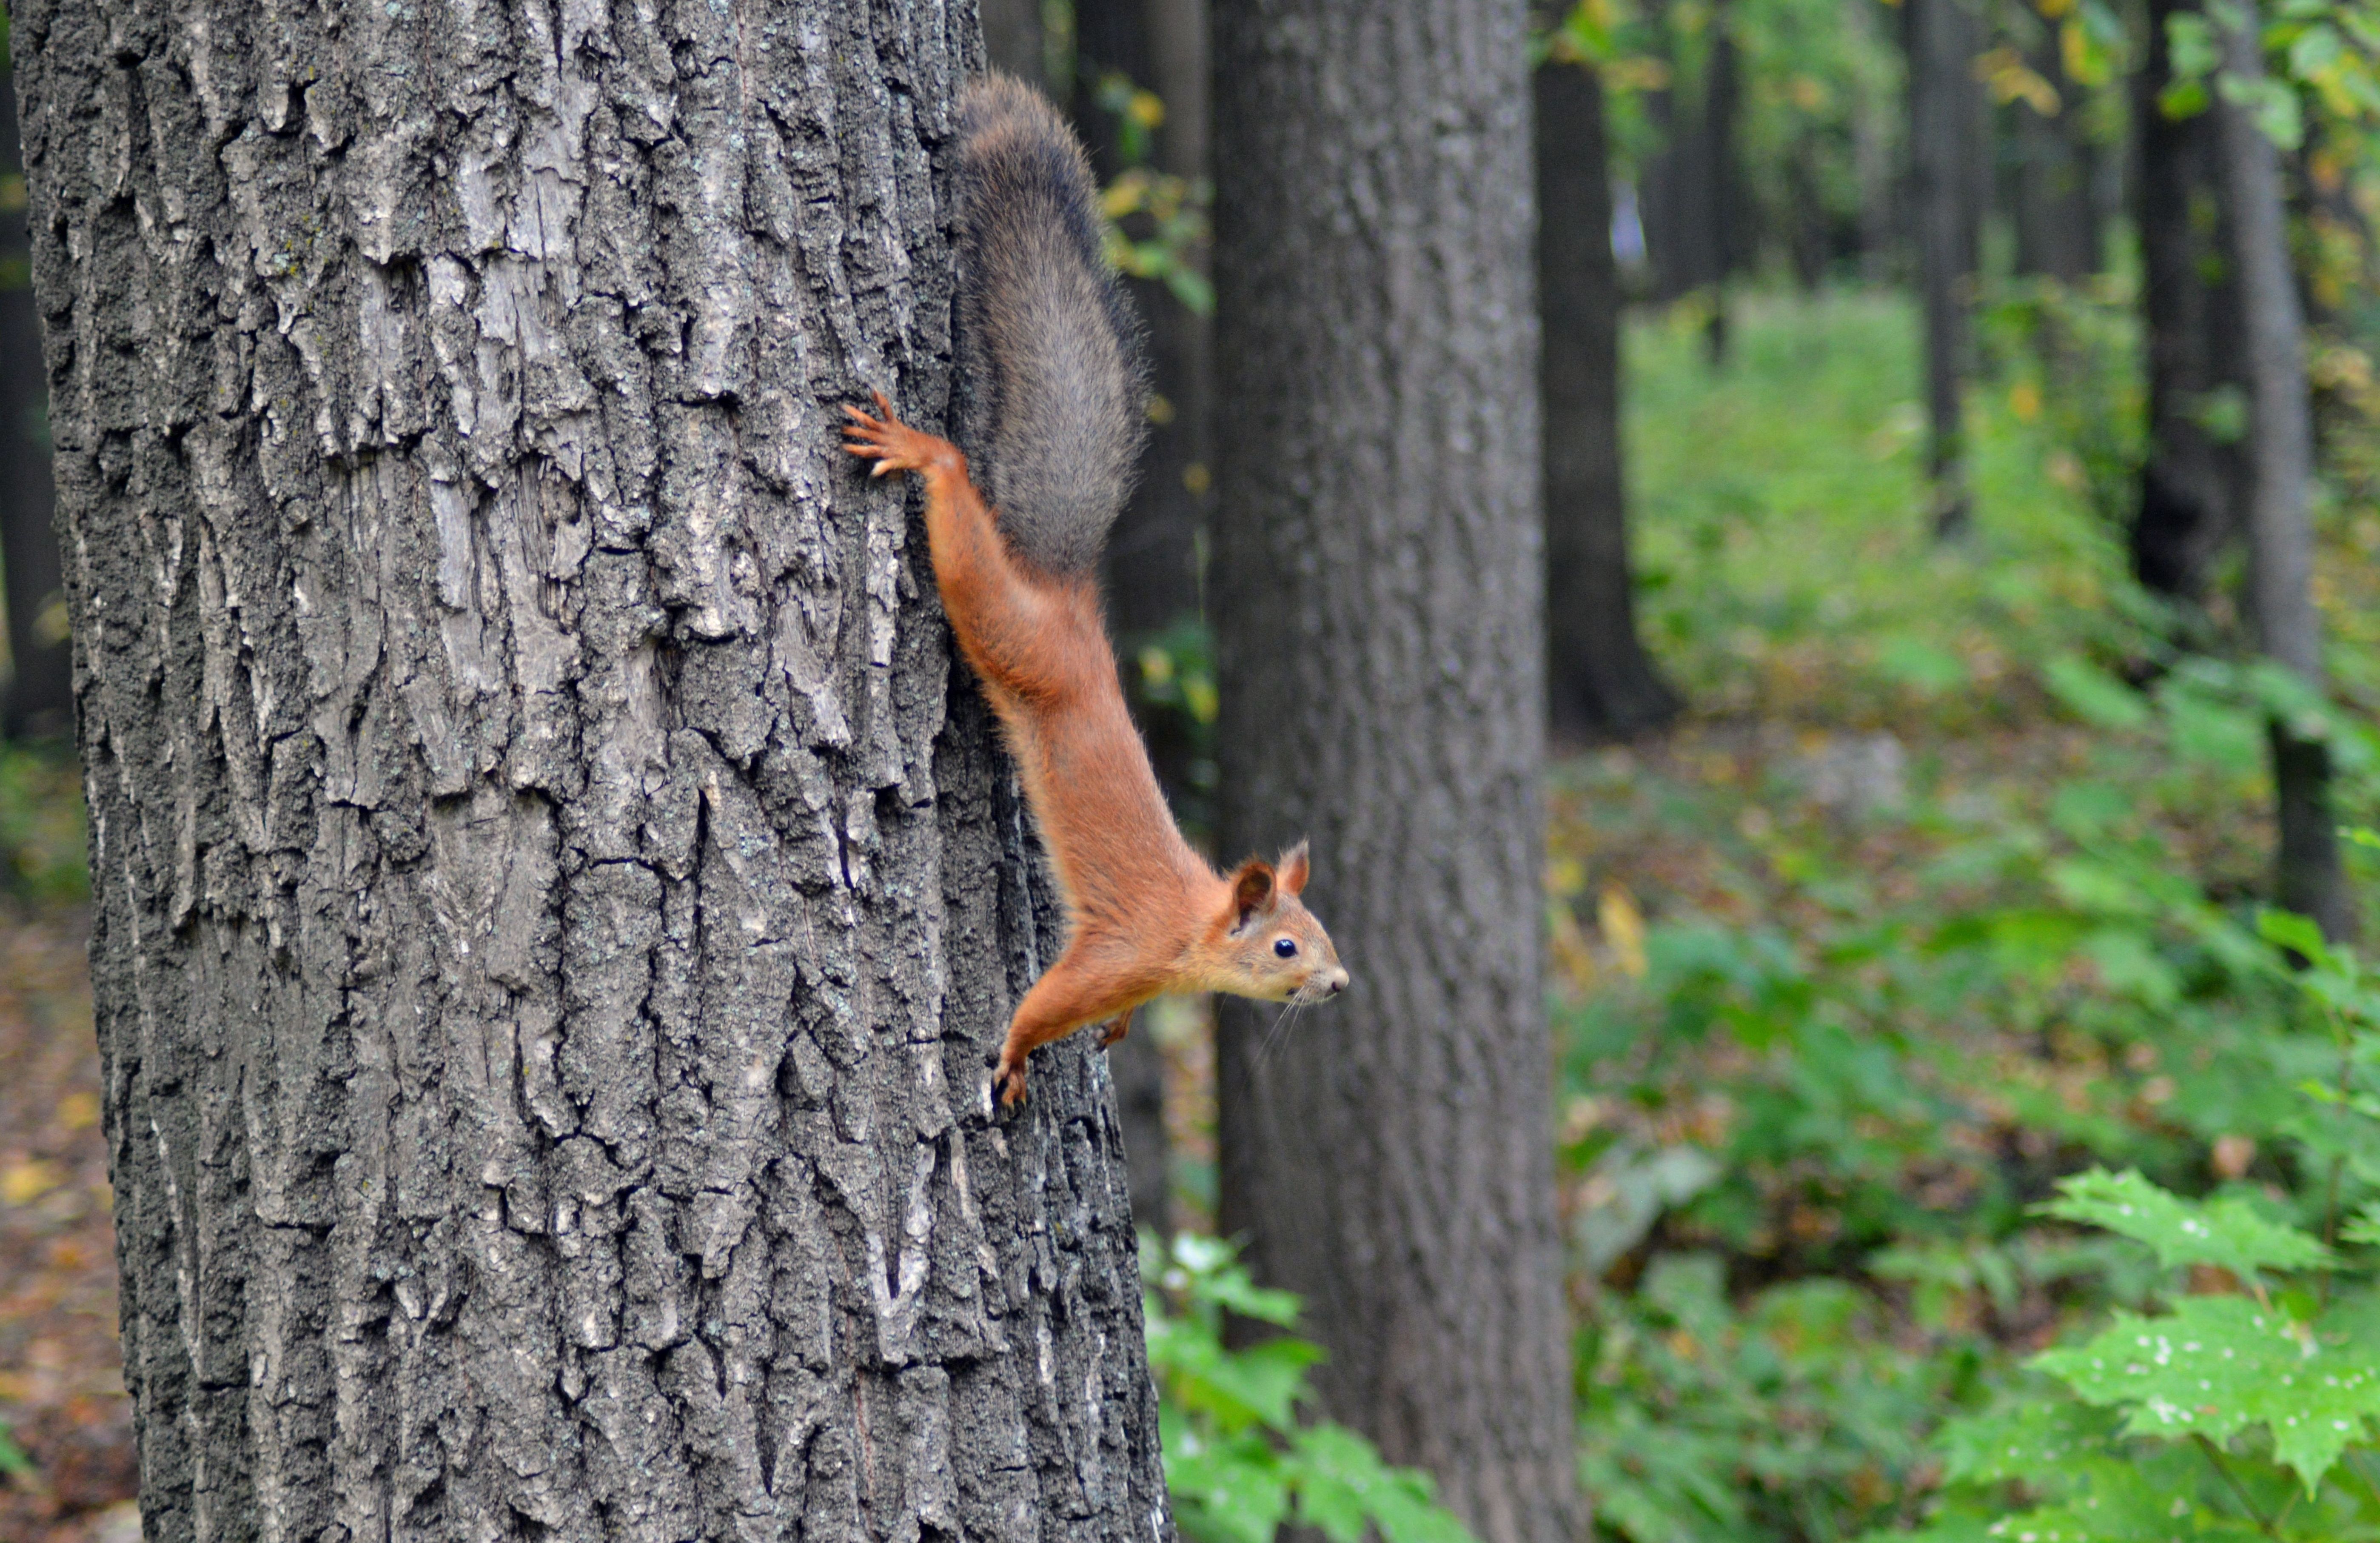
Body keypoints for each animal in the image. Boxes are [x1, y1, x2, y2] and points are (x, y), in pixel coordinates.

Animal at [847, 75, 1351, 1109]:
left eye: (1323, 931)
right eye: (1286, 945)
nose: (1340, 981)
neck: (1193, 930)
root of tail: (1065, 595)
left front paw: (1113, 1033)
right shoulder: (1121, 950)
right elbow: (1050, 1001)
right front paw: (1012, 1053)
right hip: (1004, 624)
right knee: (961, 522)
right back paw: (923, 453)